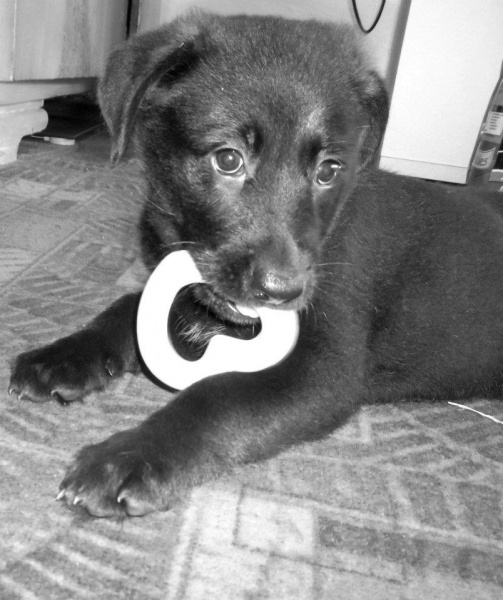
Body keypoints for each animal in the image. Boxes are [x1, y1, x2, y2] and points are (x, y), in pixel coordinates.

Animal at [9, 11, 503, 518]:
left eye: (328, 170)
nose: (282, 291)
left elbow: (220, 396)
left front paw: (130, 455)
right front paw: (64, 355)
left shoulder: (324, 367)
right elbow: (127, 306)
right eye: (228, 158)